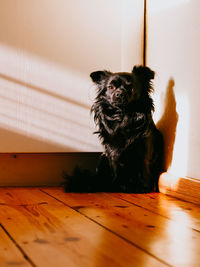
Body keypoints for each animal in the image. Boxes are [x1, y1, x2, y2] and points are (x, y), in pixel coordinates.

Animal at [63, 66, 164, 194]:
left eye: (130, 87)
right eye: (110, 87)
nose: (119, 93)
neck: (123, 115)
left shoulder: (143, 148)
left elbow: (143, 166)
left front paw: (143, 187)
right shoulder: (112, 151)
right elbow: (116, 168)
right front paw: (117, 186)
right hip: (103, 158)